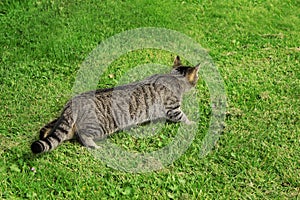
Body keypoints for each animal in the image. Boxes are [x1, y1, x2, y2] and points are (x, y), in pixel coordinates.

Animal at [31, 56, 199, 153]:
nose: (198, 80)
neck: (173, 77)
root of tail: (74, 102)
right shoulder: (173, 109)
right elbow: (183, 117)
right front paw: (192, 123)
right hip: (98, 127)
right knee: (83, 136)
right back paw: (95, 146)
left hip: (66, 125)